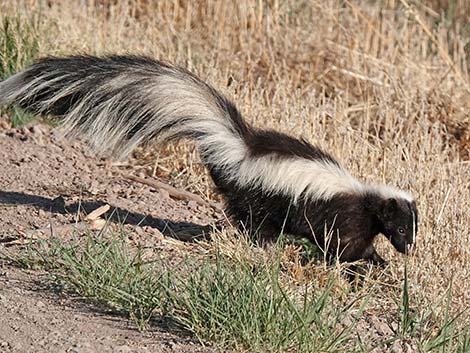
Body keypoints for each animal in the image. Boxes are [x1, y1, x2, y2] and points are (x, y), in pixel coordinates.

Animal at [0, 55, 418, 264]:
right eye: (401, 228)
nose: (408, 248)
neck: (367, 196)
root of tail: (238, 146)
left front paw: (376, 263)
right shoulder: (343, 215)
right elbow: (343, 246)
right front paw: (358, 266)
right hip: (259, 197)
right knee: (253, 222)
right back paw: (264, 246)